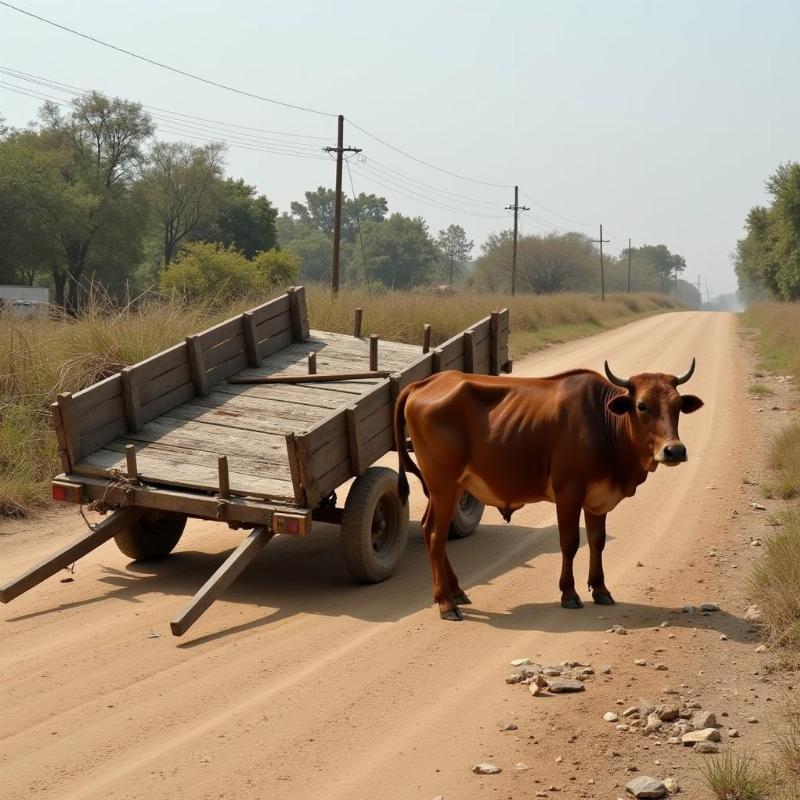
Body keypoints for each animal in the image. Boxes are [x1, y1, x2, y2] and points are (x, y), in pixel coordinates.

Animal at [392, 360, 700, 620]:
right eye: (642, 405)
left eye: (677, 405)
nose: (674, 450)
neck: (603, 422)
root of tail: (423, 383)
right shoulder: (569, 493)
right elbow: (570, 542)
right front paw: (569, 593)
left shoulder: (597, 498)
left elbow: (597, 541)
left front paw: (600, 589)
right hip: (443, 484)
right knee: (436, 536)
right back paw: (446, 603)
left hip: (449, 488)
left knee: (429, 529)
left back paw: (455, 591)